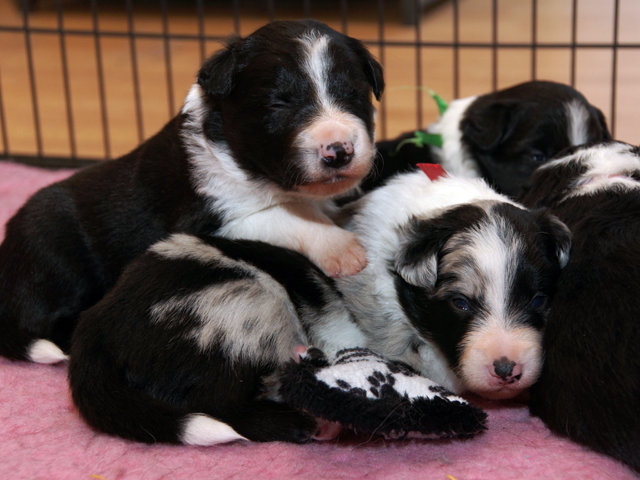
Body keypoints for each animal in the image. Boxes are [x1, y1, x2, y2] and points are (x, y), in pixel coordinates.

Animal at [0, 20, 383, 364]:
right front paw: (342, 248)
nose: (339, 151)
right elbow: (282, 218)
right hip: (50, 250)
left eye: (354, 95)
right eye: (278, 104)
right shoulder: (209, 220)